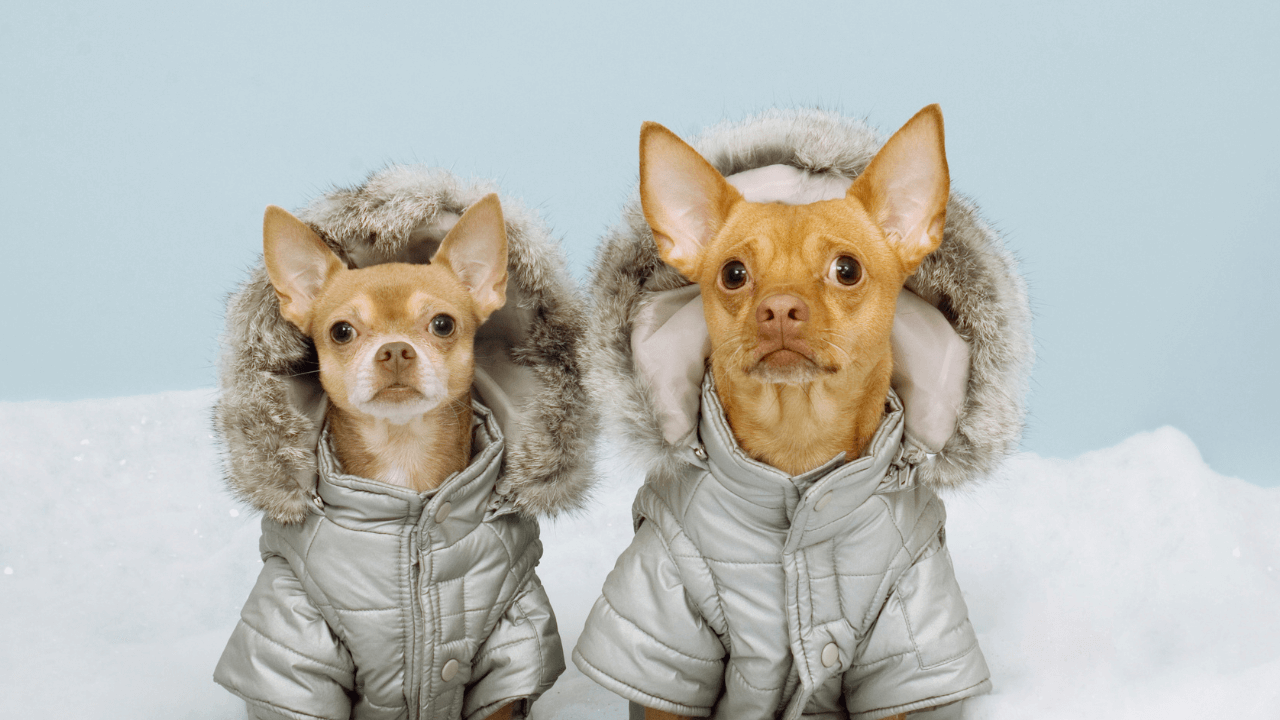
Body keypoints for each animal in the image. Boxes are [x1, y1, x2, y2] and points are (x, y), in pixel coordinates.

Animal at [640, 103, 952, 712]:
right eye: (733, 274)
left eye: (847, 270)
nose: (780, 307)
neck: (798, 441)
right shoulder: (667, 609)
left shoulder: (909, 619)